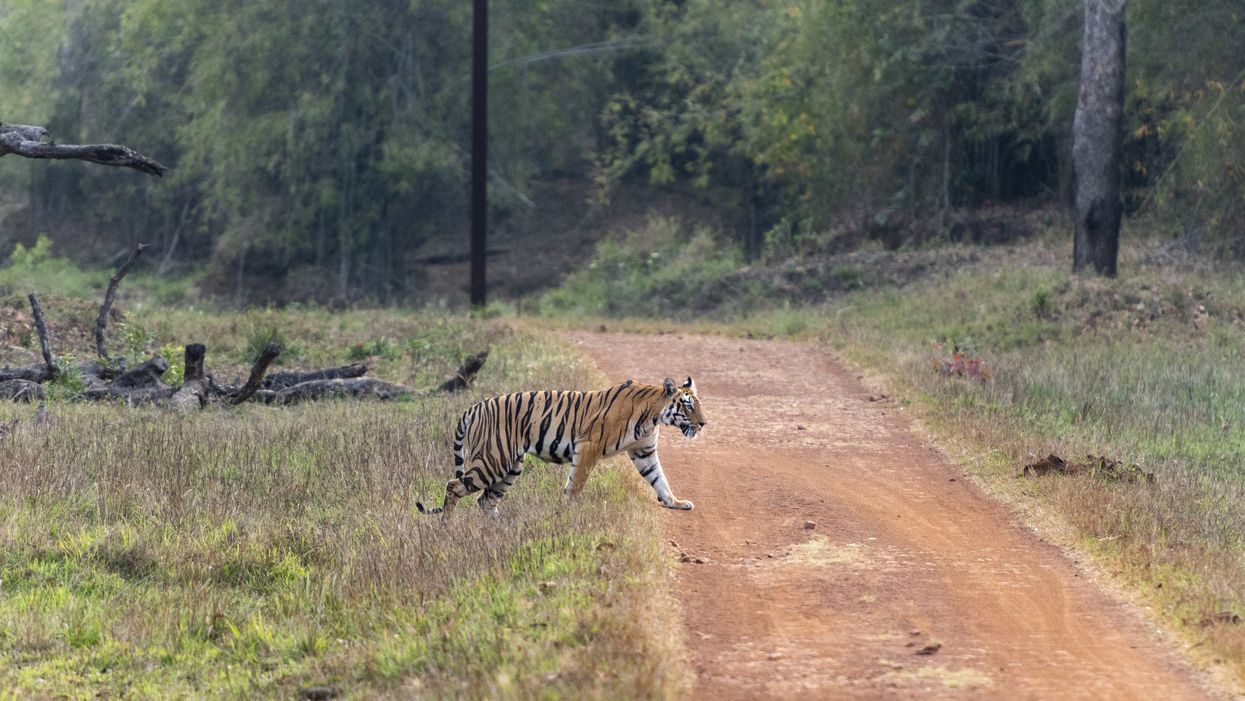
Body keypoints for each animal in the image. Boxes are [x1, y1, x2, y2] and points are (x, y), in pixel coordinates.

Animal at [416, 377, 707, 516]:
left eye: (698, 404)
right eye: (687, 406)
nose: (704, 423)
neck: (653, 414)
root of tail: (474, 407)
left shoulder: (644, 452)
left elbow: (660, 479)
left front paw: (675, 502)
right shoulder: (588, 446)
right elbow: (575, 484)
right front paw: (567, 511)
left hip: (511, 466)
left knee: (485, 500)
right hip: (492, 459)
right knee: (454, 486)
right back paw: (447, 528)